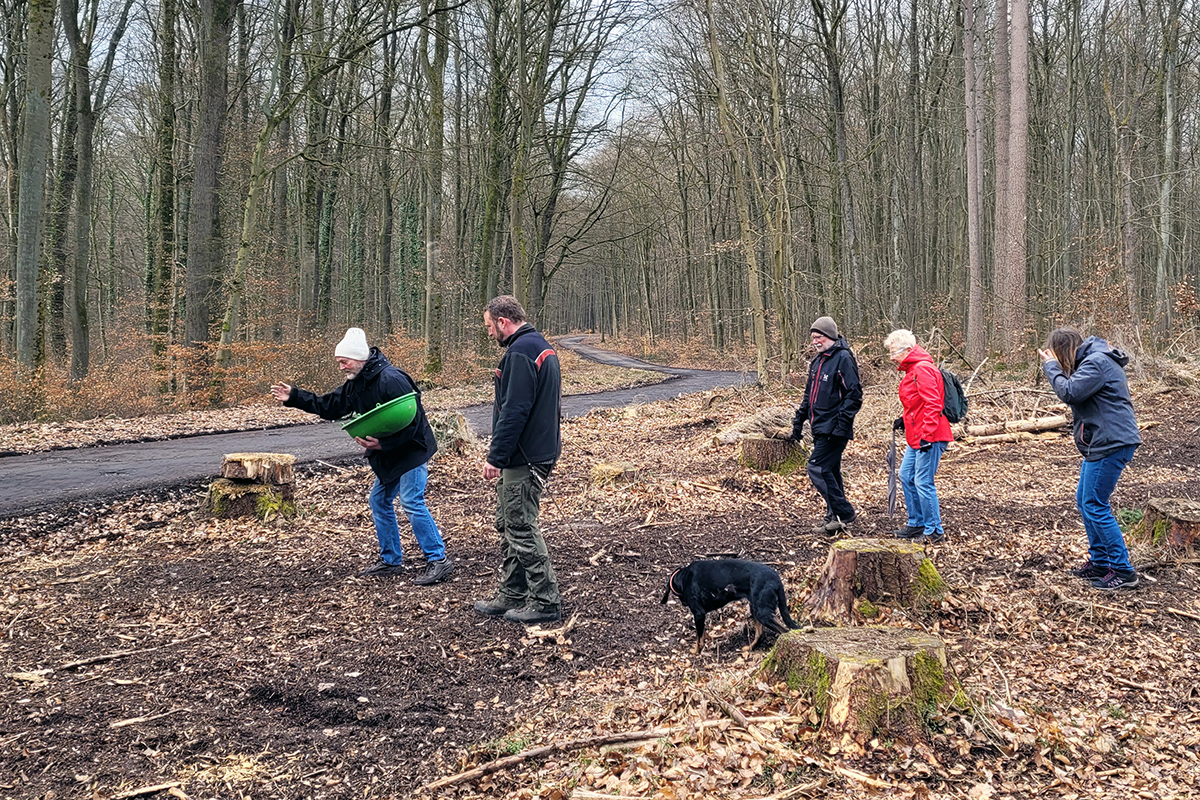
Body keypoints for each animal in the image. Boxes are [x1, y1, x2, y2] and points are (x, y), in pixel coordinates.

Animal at [667, 561, 796, 652]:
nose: (683, 603)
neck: (684, 577)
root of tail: (776, 578)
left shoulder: (698, 614)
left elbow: (699, 638)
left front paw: (696, 652)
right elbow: (702, 635)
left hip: (762, 612)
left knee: (784, 631)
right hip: (755, 608)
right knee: (760, 634)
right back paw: (749, 648)